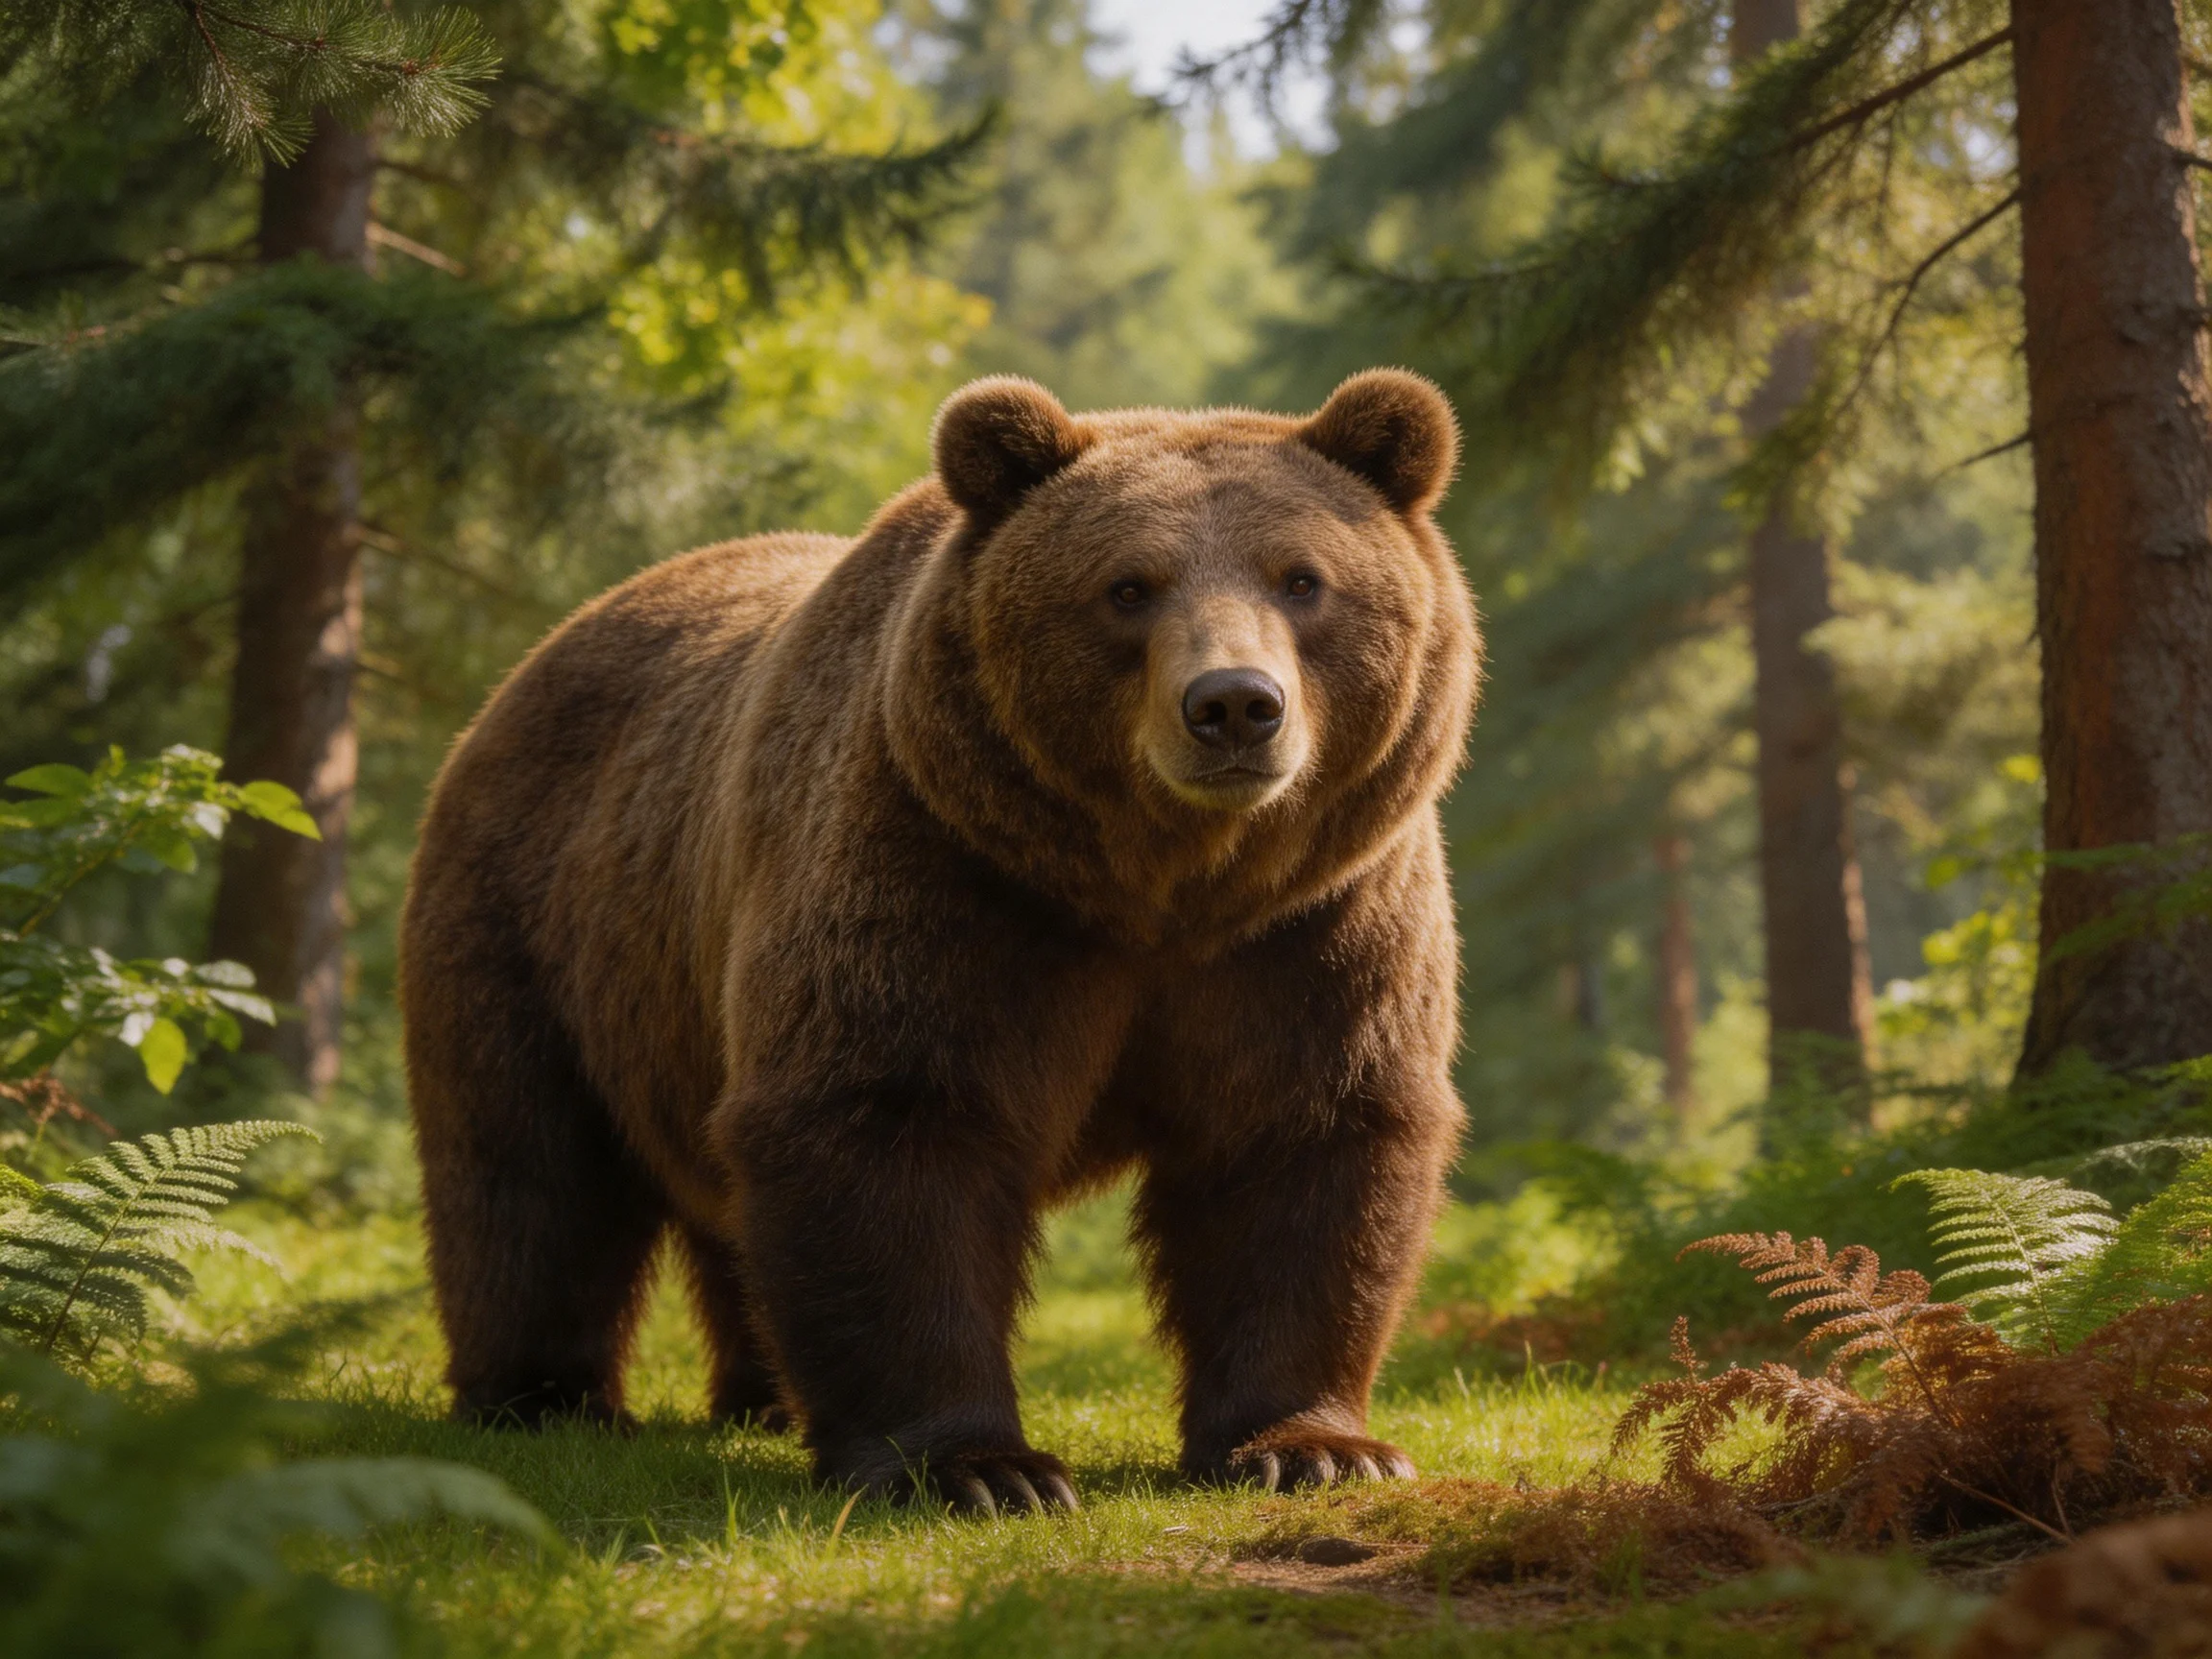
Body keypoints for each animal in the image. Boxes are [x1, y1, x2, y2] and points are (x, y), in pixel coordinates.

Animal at [399, 368, 1482, 1514]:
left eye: (1302, 579)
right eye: (1128, 587)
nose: (1233, 705)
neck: (1159, 888)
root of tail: (532, 661)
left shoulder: (1311, 926)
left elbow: (1301, 1138)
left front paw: (1311, 1445)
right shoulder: (943, 872)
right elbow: (894, 1121)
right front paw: (979, 1468)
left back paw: (763, 1397)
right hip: (535, 919)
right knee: (530, 1167)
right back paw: (541, 1395)